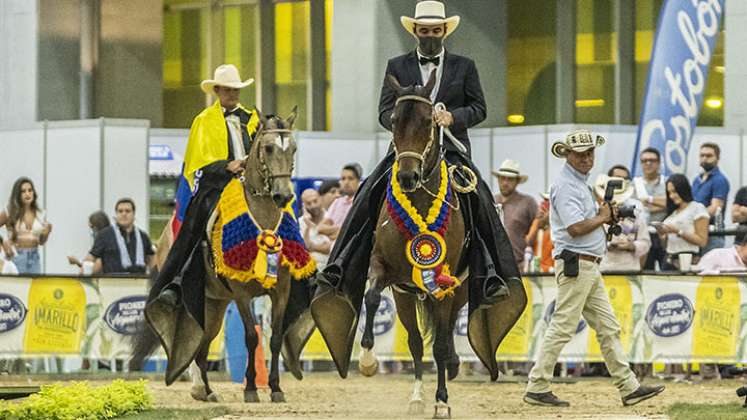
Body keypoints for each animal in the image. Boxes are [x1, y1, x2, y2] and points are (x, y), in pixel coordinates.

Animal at [133, 110, 314, 406]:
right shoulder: (241, 292)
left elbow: (275, 338)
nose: (283, 194)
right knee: (200, 344)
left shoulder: (282, 290)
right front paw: (251, 388)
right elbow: (251, 337)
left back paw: (205, 390)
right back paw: (200, 388)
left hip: (214, 304)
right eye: (268, 148)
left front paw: (276, 388)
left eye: (294, 148)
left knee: (203, 343)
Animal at [356, 74, 468, 418]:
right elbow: (372, 297)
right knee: (417, 343)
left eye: (428, 121)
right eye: (393, 120)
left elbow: (441, 345)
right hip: (407, 296)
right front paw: (367, 361)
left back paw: (449, 374)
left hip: (458, 289)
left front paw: (442, 401)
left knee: (445, 334)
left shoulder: (445, 284)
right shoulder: (384, 268)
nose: (407, 176)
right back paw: (417, 397)